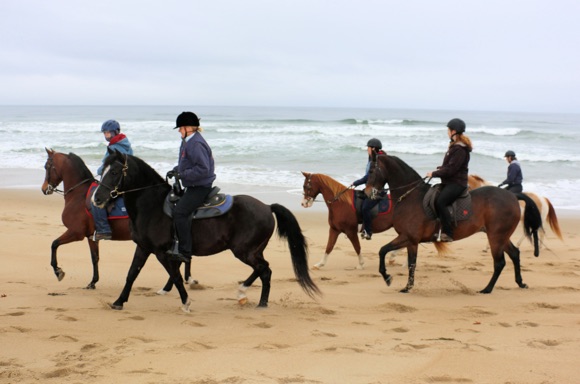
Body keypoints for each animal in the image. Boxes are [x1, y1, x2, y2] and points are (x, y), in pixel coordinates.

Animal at [41, 148, 195, 290]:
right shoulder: (91, 237)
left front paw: (58, 271)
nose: (44, 189)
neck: (79, 194)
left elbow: (54, 244)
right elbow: (94, 258)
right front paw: (93, 282)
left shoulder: (76, 232)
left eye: (47, 166)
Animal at [92, 150, 322, 312]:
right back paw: (258, 301)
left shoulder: (161, 252)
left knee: (264, 269)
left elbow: (176, 277)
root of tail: (267, 206)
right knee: (264, 271)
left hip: (244, 251)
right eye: (102, 171)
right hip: (253, 250)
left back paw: (245, 294)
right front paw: (119, 301)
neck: (151, 205)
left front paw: (186, 302)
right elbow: (132, 274)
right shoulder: (143, 247)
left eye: (114, 172)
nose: (97, 198)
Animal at [364, 153, 540, 294]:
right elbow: (409, 263)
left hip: (496, 237)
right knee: (515, 254)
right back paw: (520, 283)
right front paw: (407, 287)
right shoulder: (411, 241)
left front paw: (388, 277)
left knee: (499, 262)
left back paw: (487, 289)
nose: (366, 193)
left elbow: (383, 251)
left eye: (371, 171)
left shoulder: (408, 237)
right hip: (501, 236)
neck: (411, 197)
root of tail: (513, 196)